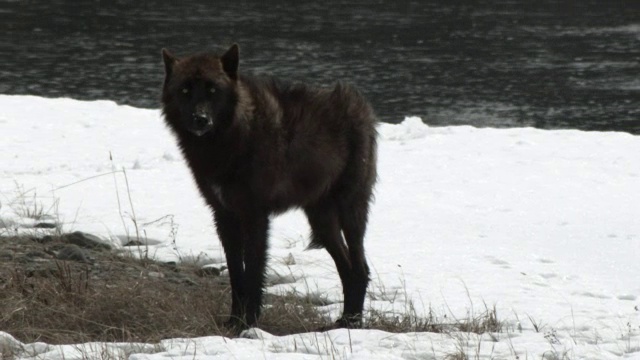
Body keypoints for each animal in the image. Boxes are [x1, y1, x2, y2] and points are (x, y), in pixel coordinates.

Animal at [161, 43, 380, 330]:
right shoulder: (224, 216)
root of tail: (362, 104)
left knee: (361, 267)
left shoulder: (255, 215)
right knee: (348, 269)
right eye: (185, 90)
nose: (201, 119)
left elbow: (254, 271)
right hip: (322, 222)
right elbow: (236, 274)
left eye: (212, 90)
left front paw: (249, 323)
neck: (227, 141)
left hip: (350, 212)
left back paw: (352, 324)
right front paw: (233, 321)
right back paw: (344, 322)